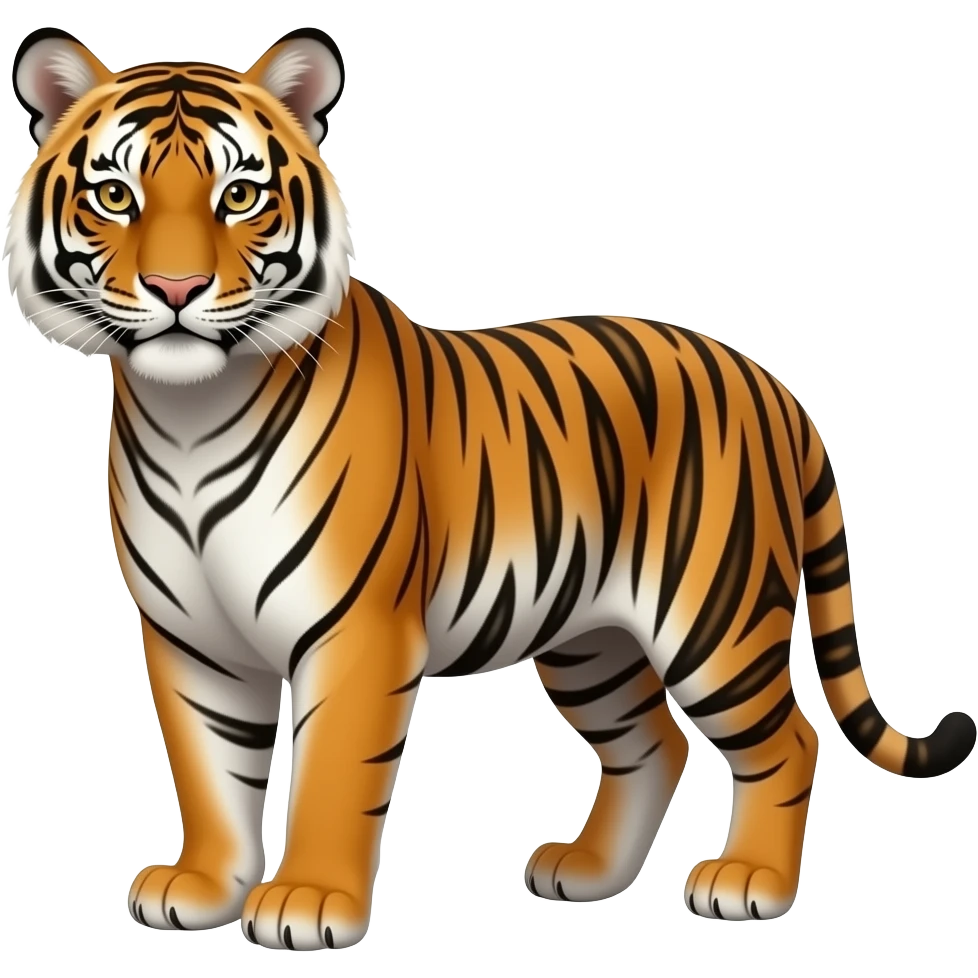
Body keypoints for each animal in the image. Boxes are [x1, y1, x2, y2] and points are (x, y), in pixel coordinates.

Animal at [4, 24, 975, 950]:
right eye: (115, 197)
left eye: (239, 196)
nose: (176, 287)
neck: (190, 415)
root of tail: (772, 383)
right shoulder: (190, 636)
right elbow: (209, 769)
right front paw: (204, 886)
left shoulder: (355, 630)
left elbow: (331, 774)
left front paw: (308, 902)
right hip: (591, 638)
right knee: (654, 743)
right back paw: (588, 871)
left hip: (716, 619)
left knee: (789, 740)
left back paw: (750, 883)